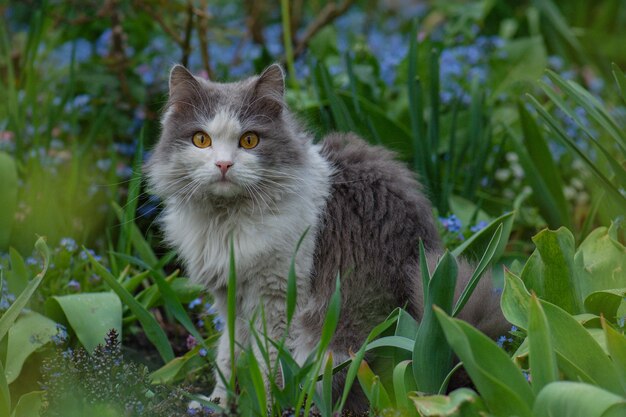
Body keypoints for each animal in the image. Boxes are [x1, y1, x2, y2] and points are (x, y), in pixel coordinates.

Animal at [146, 64, 508, 410]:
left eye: (249, 140)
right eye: (201, 140)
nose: (223, 164)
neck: (226, 220)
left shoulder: (276, 297)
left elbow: (268, 362)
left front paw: (266, 404)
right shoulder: (231, 297)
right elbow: (228, 353)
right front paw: (219, 402)